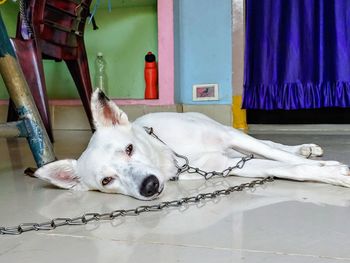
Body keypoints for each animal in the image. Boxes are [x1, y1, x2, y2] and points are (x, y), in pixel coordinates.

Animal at [34, 90, 350, 200]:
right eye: (106, 180)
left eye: (129, 149)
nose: (149, 186)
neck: (173, 155)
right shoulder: (229, 166)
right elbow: (291, 169)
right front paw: (329, 171)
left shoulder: (231, 136)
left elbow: (281, 157)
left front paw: (330, 167)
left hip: (231, 136)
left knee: (269, 144)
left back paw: (305, 149)